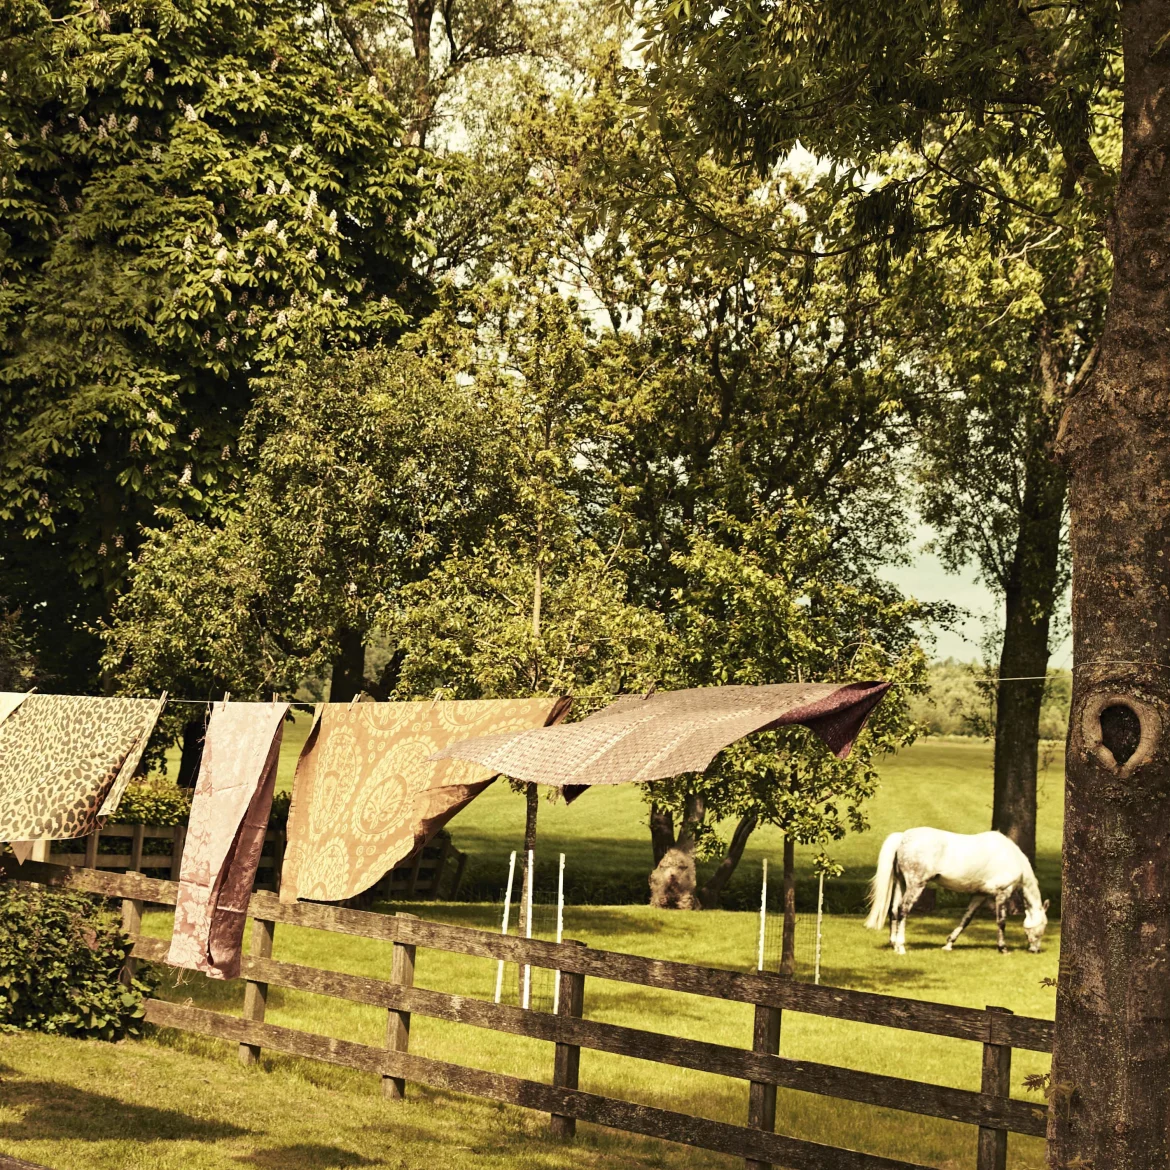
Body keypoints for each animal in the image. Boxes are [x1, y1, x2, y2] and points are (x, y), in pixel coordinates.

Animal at [865, 828, 1048, 954]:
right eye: (1043, 926)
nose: (1036, 950)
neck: (1012, 857)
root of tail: (902, 837)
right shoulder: (1002, 893)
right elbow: (1001, 921)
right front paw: (1003, 948)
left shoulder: (980, 895)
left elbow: (966, 919)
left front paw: (948, 944)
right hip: (916, 885)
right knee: (903, 910)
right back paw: (901, 947)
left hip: (901, 884)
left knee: (894, 910)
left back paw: (894, 944)